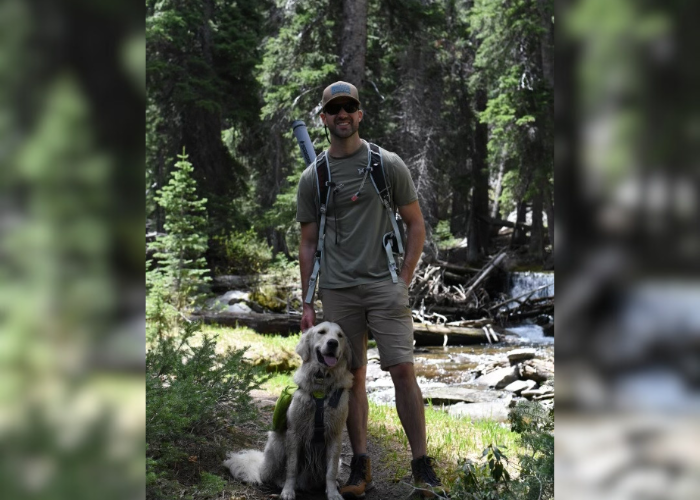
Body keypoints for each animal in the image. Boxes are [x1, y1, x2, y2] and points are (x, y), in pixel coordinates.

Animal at [224, 322, 352, 498]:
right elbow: (292, 467)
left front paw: (333, 493)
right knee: (269, 475)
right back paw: (278, 482)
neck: (321, 385)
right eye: (321, 332)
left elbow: (331, 471)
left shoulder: (335, 435)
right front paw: (287, 491)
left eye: (340, 336)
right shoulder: (294, 433)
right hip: (277, 444)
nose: (333, 343)